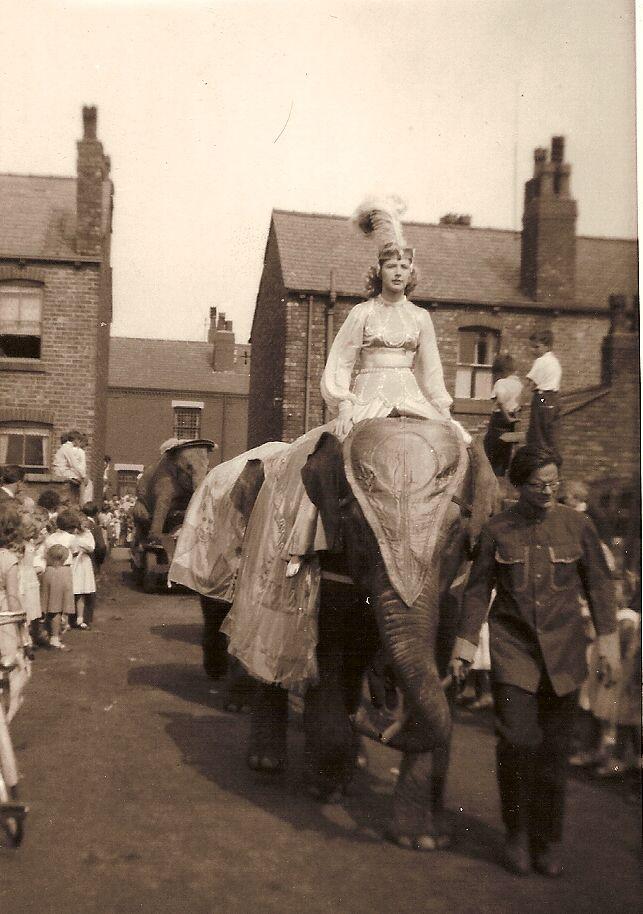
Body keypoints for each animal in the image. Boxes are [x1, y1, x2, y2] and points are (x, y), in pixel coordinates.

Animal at [224, 420, 496, 848]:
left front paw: (422, 840)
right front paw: (327, 788)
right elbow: (328, 653)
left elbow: (438, 659)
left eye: (455, 532)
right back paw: (270, 762)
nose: (375, 720)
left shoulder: (455, 585)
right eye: (359, 532)